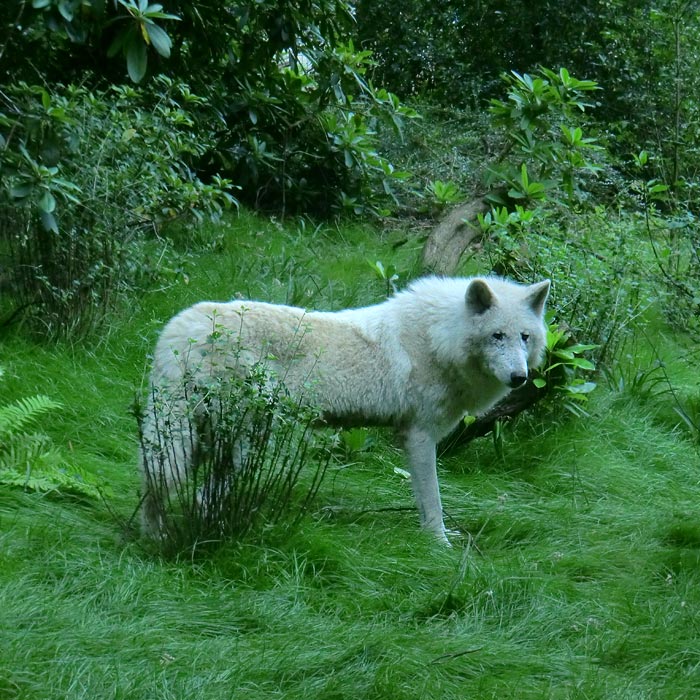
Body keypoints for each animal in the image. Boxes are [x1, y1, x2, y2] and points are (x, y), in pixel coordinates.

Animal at [139, 276, 548, 544]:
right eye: (497, 335)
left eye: (524, 337)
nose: (519, 378)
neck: (439, 338)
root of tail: (180, 326)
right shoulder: (420, 437)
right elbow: (433, 500)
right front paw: (440, 545)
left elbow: (422, 498)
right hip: (241, 439)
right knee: (196, 494)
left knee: (164, 487)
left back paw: (161, 536)